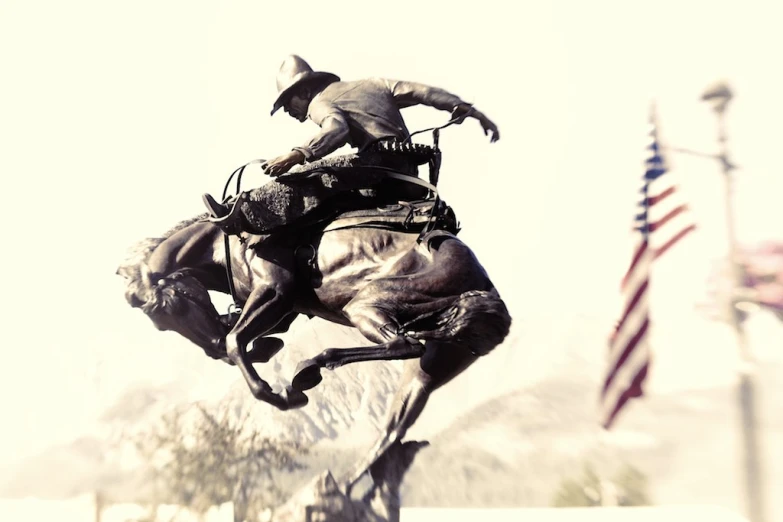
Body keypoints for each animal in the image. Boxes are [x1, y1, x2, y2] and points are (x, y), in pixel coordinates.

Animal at [113, 201, 512, 490]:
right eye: (162, 325)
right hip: (430, 367)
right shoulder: (282, 308)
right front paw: (266, 350)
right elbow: (240, 340)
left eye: (175, 306)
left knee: (401, 344)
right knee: (393, 426)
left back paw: (310, 369)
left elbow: (235, 342)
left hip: (367, 303)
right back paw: (352, 481)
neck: (226, 240)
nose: (207, 344)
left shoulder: (276, 292)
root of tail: (485, 293)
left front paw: (276, 393)